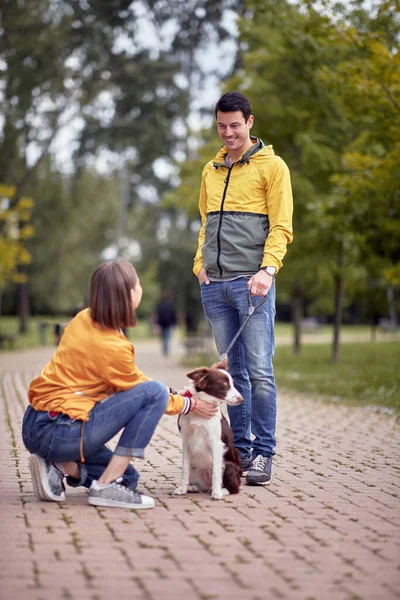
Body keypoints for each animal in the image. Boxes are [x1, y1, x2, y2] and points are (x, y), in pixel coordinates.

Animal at [173, 356, 242, 502]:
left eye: (233, 384)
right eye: (224, 384)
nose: (241, 399)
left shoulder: (216, 443)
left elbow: (216, 472)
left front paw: (217, 493)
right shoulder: (186, 441)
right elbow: (184, 469)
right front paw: (182, 489)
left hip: (229, 465)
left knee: (234, 488)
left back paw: (220, 490)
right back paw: (192, 487)